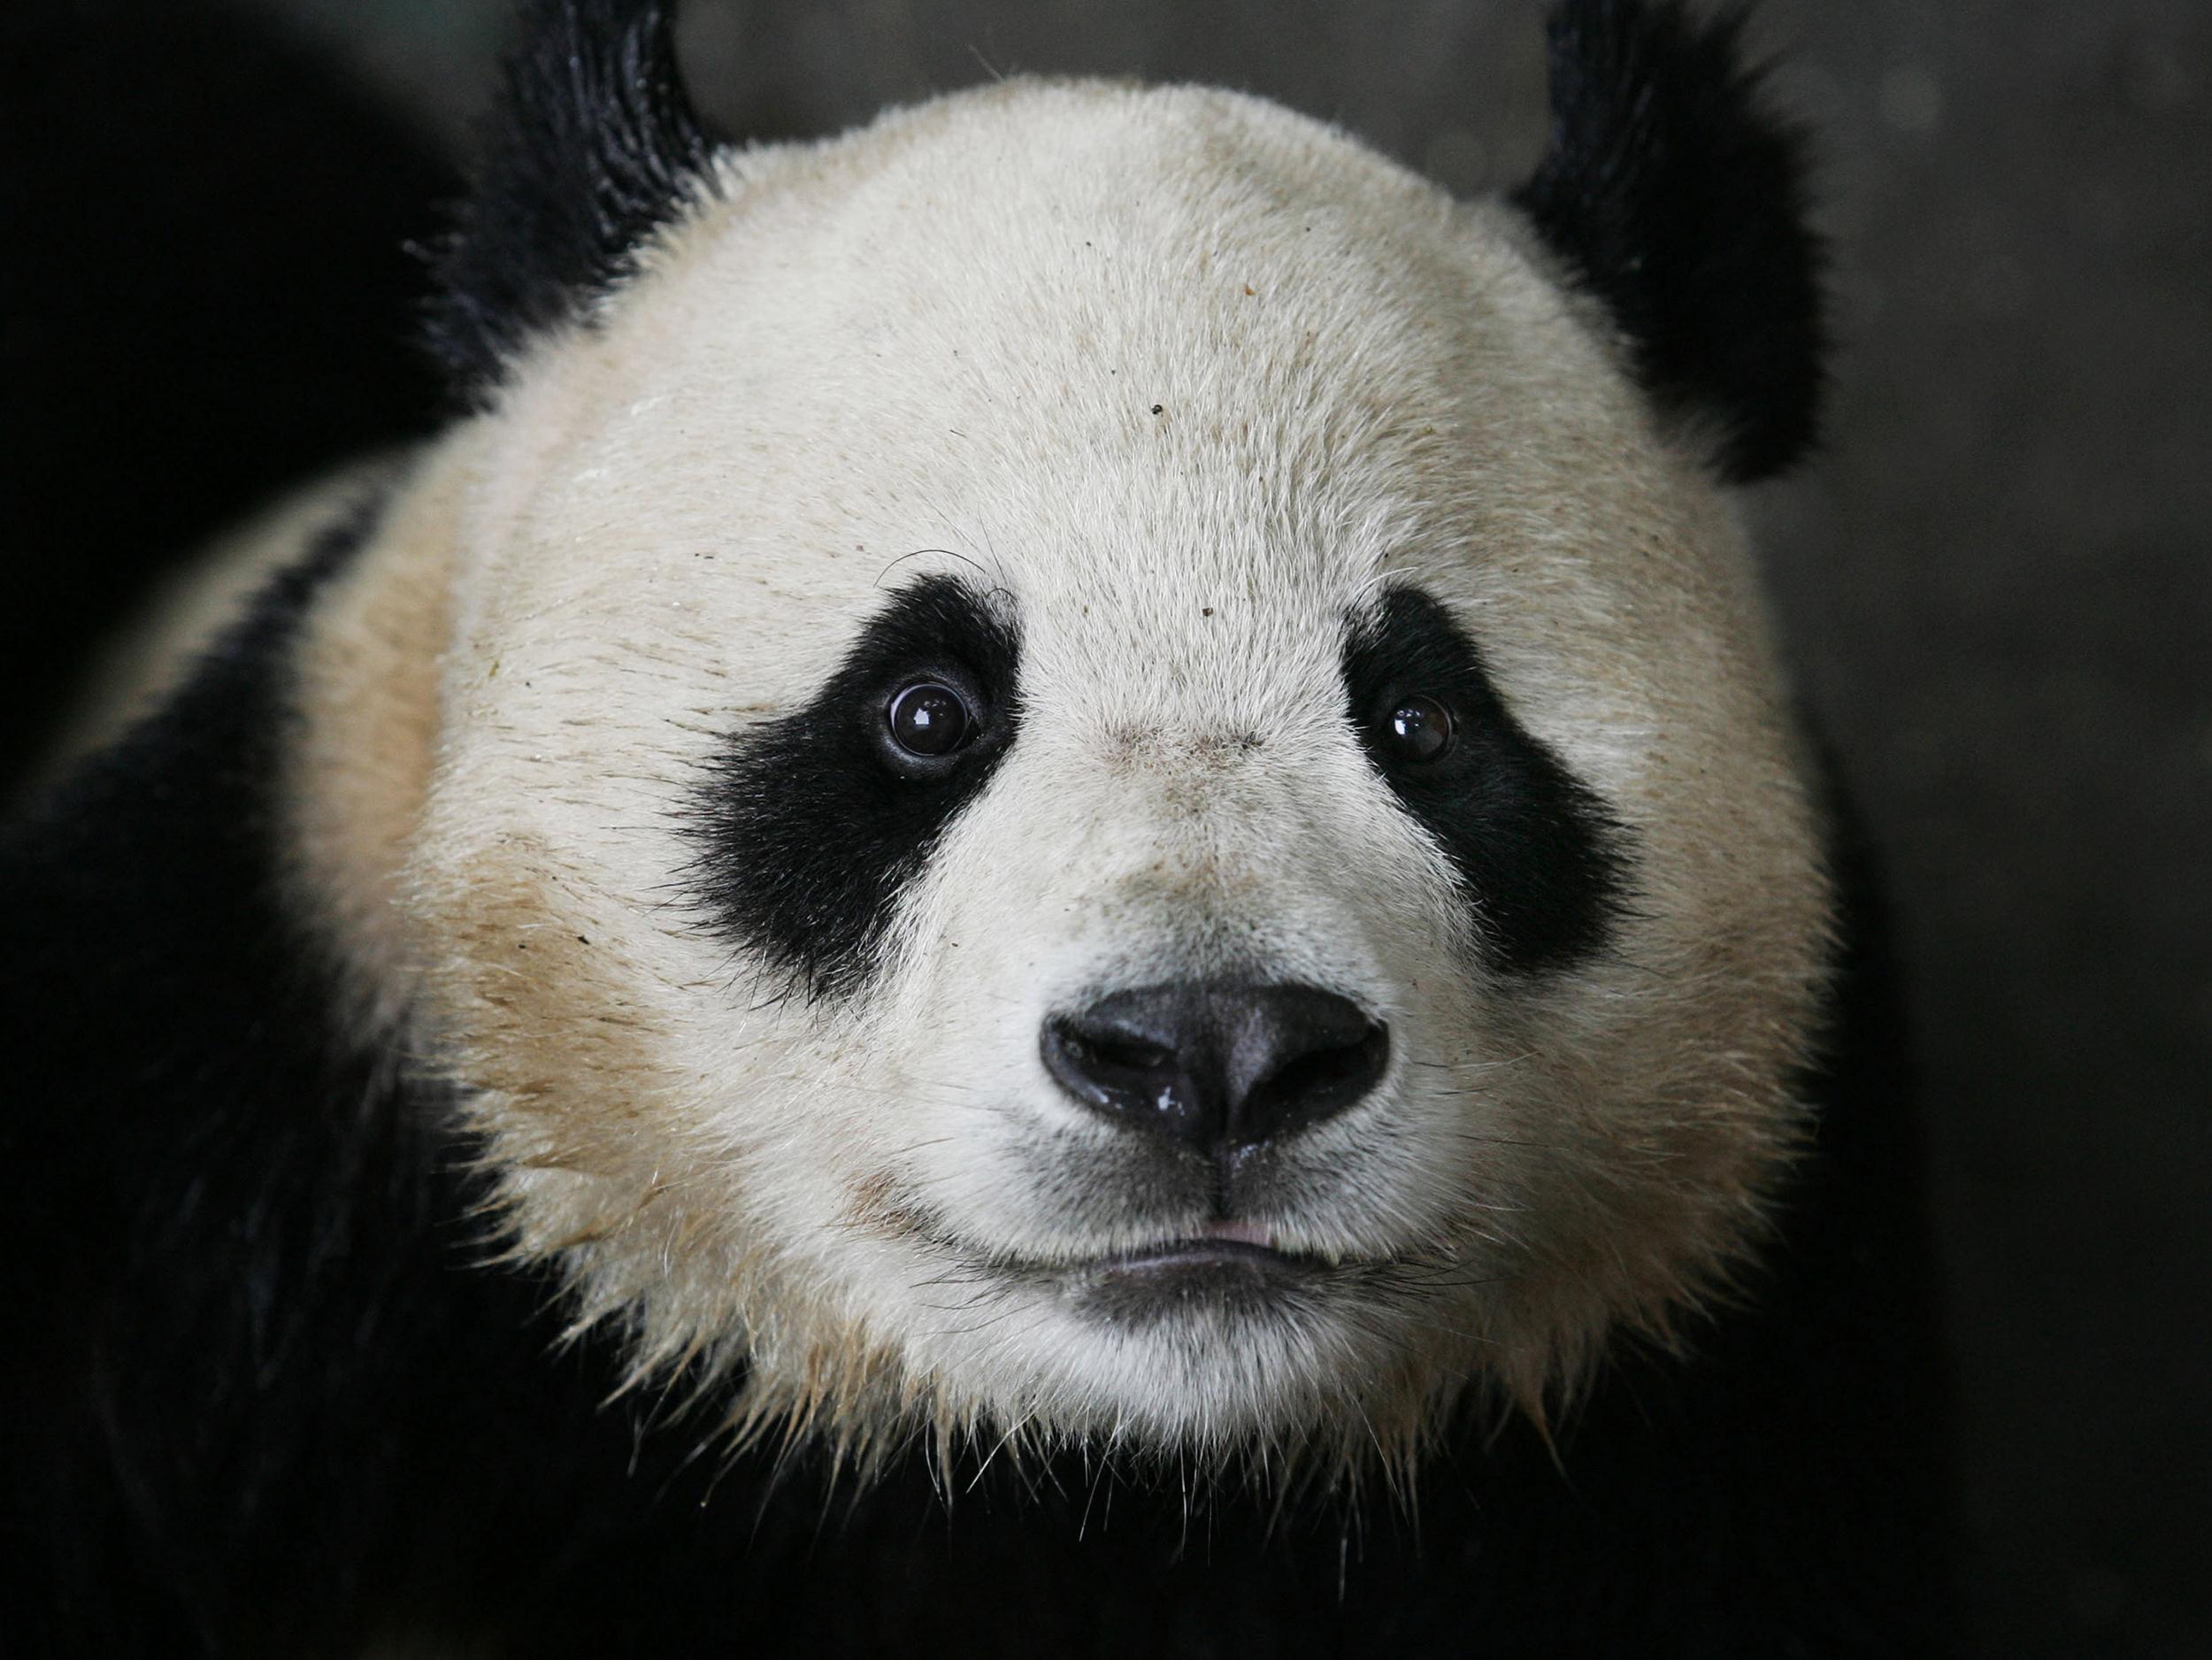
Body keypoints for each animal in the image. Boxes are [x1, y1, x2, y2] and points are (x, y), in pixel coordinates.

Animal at [0, 0, 1952, 1654]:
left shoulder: (1707, 1365)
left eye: (1426, 720)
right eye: (925, 710)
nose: (1214, 1052)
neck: (1081, 1463)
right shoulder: (268, 1088)